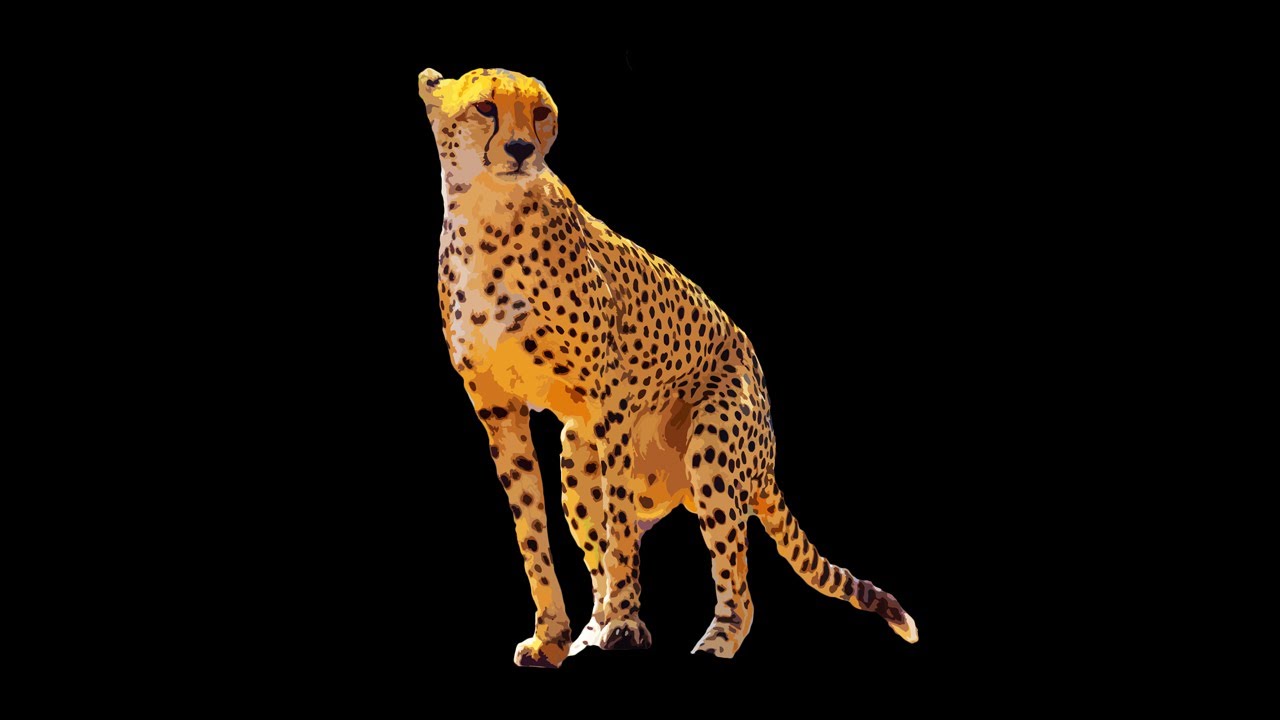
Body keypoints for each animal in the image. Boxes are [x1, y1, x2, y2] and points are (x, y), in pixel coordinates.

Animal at [420, 66, 918, 668]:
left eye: (541, 113)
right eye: (485, 107)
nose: (520, 150)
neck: (488, 213)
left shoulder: (609, 398)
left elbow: (618, 529)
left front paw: (626, 625)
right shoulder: (500, 412)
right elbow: (533, 533)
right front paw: (552, 636)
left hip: (715, 440)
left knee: (735, 582)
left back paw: (709, 641)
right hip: (576, 453)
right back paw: (591, 629)